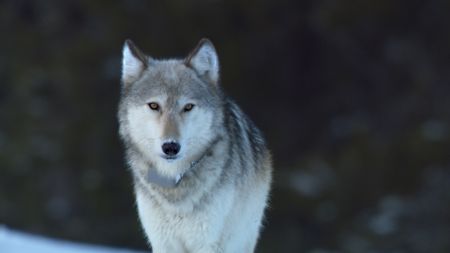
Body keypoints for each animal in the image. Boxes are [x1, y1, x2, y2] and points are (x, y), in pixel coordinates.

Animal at [118, 38, 272, 253]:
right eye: (154, 106)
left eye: (188, 107)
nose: (171, 147)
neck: (174, 182)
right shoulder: (163, 243)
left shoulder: (208, 243)